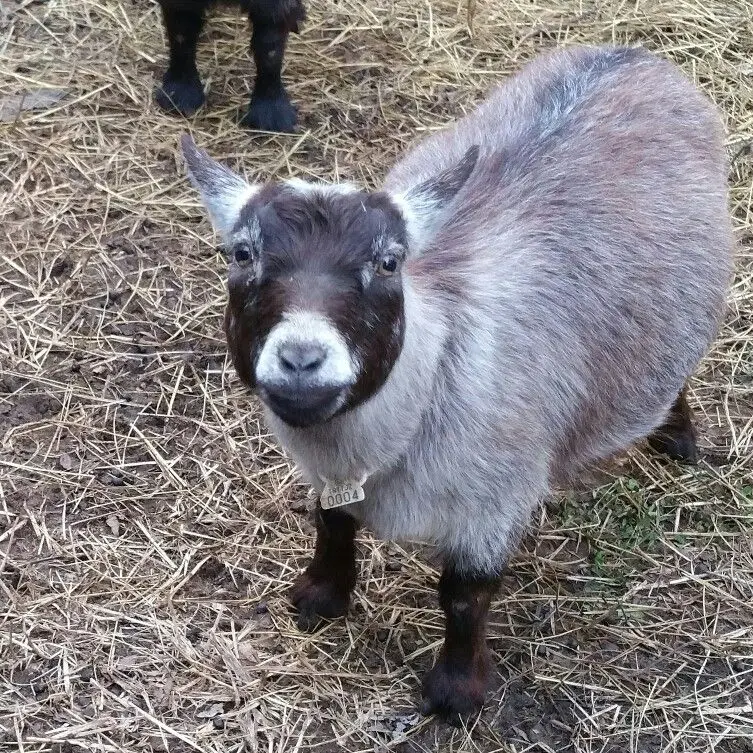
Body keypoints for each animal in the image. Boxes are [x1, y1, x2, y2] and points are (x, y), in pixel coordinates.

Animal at [179, 45, 732, 716]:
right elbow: (332, 526)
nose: (302, 359)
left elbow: (465, 596)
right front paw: (321, 598)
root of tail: (636, 56)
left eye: (389, 261)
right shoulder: (331, 476)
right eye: (241, 254)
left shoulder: (494, 499)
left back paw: (678, 437)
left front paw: (455, 692)